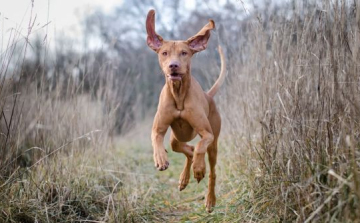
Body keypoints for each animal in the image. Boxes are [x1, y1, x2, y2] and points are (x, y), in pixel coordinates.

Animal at [146, 9, 225, 213]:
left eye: (184, 53)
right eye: (164, 53)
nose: (173, 65)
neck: (178, 94)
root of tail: (208, 95)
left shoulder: (207, 134)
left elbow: (200, 146)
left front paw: (198, 169)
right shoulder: (158, 129)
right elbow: (157, 140)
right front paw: (160, 159)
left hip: (214, 145)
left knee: (210, 168)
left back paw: (209, 197)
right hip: (176, 139)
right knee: (187, 149)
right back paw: (184, 178)